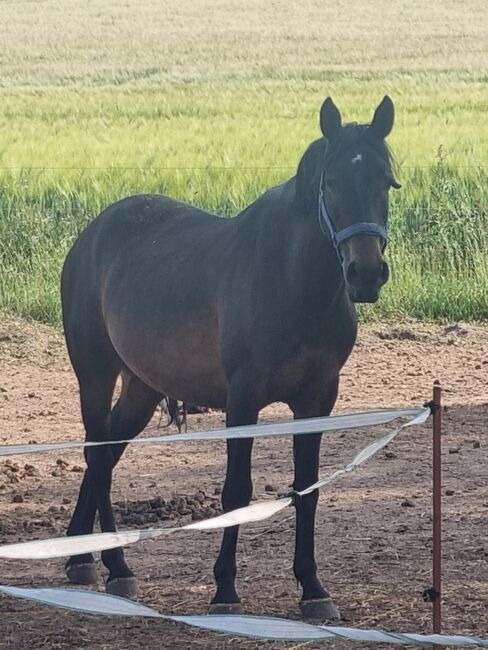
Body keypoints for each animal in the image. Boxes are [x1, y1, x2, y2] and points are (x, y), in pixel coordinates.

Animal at [61, 95, 398, 616]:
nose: (366, 274)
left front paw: (313, 589)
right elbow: (237, 491)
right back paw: (116, 568)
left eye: (386, 180)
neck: (293, 281)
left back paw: (84, 558)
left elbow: (307, 489)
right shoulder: (243, 399)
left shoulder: (317, 400)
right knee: (98, 455)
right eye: (333, 182)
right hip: (95, 374)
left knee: (106, 454)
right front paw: (224, 591)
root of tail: (90, 234)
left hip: (141, 387)